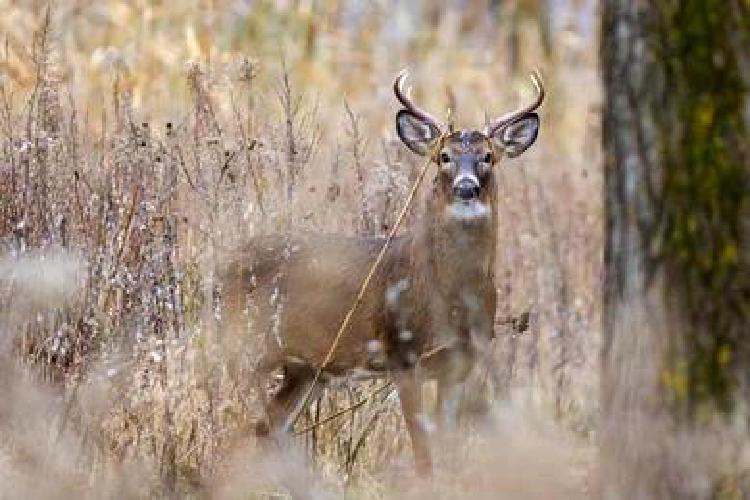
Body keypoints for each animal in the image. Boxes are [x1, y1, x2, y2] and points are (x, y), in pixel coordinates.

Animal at [220, 69, 544, 472]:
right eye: (444, 157)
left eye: (488, 157)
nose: (466, 188)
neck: (448, 297)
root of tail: (222, 265)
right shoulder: (402, 355)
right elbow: (424, 456)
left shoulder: (461, 363)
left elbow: (448, 453)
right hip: (244, 345)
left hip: (309, 369)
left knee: (268, 426)